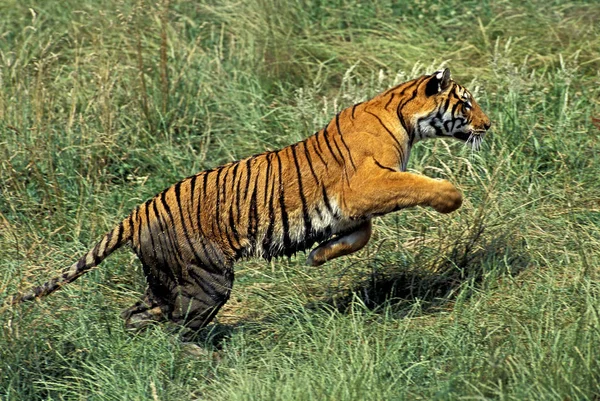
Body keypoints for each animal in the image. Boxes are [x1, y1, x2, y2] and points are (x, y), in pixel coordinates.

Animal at [7, 69, 490, 332]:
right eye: (465, 104)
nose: (489, 124)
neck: (403, 118)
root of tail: (140, 209)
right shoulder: (366, 184)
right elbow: (417, 186)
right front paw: (452, 198)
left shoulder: (353, 205)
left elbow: (361, 234)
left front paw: (318, 256)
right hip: (205, 281)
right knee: (180, 326)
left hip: (164, 278)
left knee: (139, 313)